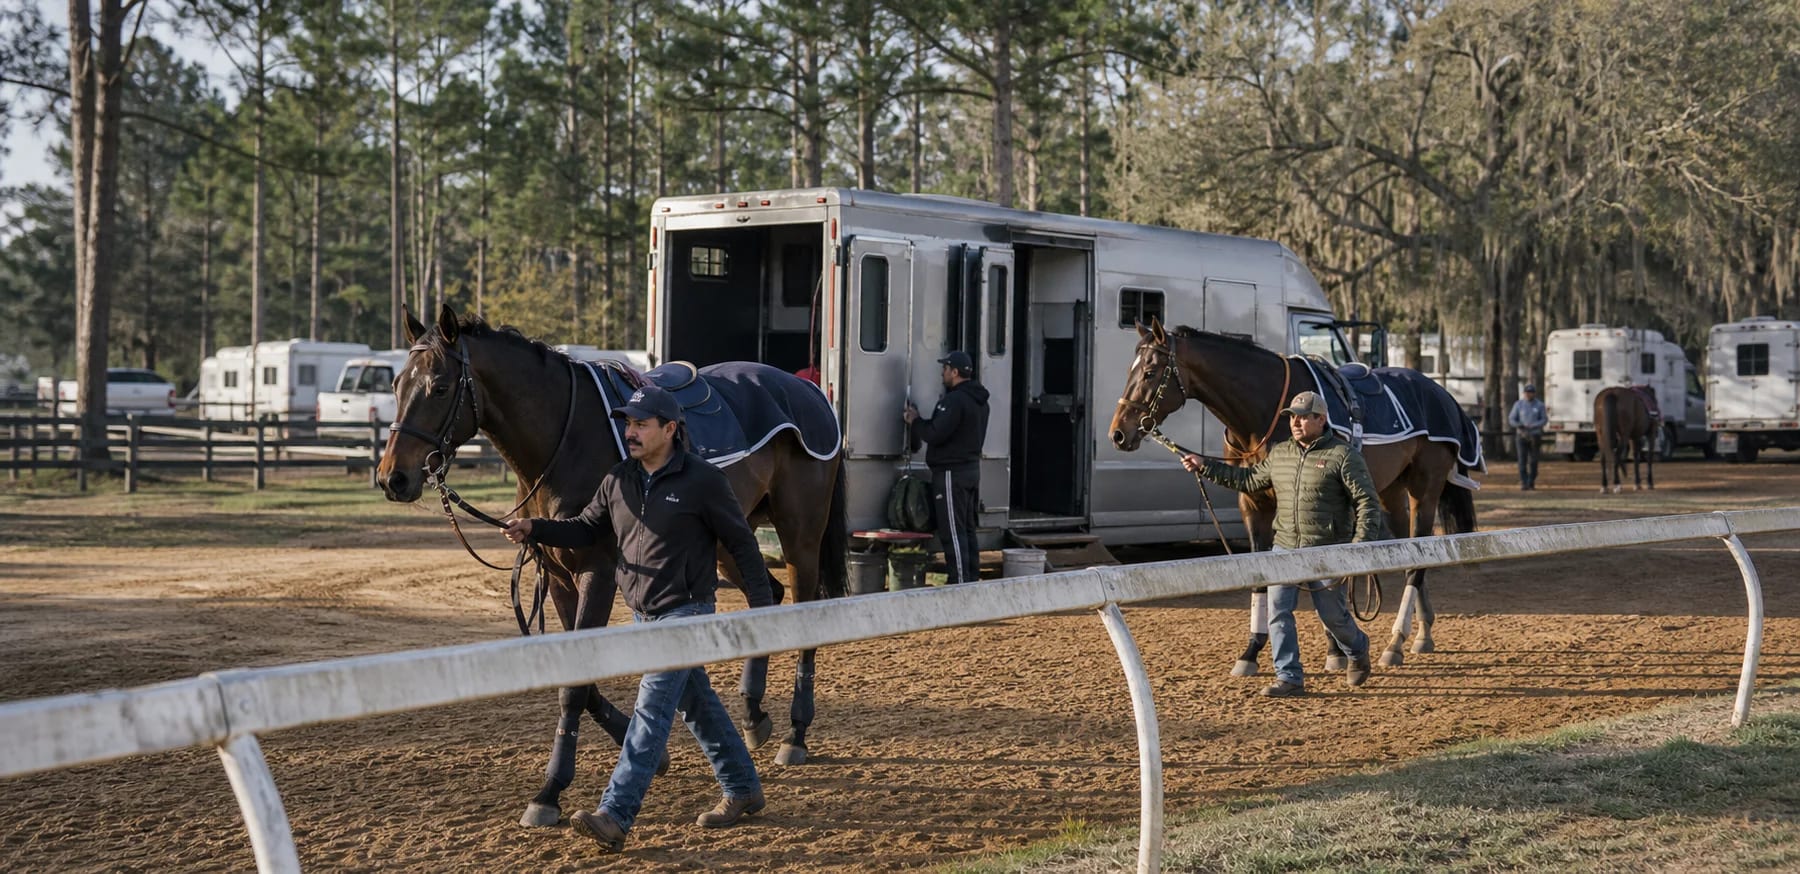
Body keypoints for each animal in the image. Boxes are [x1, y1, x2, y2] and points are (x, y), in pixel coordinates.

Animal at [376, 303, 847, 829]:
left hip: (799, 534)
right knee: (766, 596)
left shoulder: (596, 574)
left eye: (439, 387)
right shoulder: (559, 579)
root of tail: (807, 391)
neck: (566, 440)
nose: (392, 478)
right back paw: (752, 714)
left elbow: (576, 688)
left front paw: (549, 793)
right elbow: (581, 678)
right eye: (396, 384)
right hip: (731, 533)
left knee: (803, 611)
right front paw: (646, 753)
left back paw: (795, 734)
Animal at [1108, 319, 1479, 670]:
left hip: (1424, 490)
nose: (1118, 433)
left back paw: (1395, 642)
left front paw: (1335, 651)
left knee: (1417, 565)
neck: (1267, 408)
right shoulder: (1253, 503)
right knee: (1413, 554)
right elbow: (1261, 576)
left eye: (1150, 372)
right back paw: (1421, 634)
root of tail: (1444, 396)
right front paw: (1252, 652)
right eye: (1129, 370)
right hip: (1391, 493)